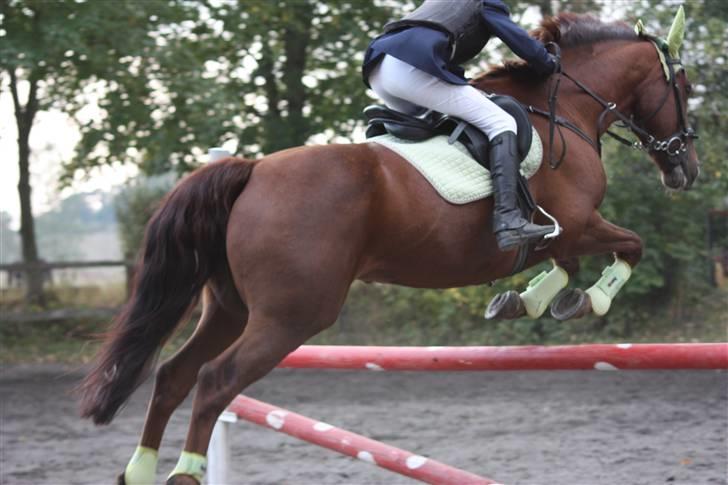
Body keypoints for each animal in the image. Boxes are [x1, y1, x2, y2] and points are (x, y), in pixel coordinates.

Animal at [77, 13, 696, 482]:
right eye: (685, 89)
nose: (685, 169)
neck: (563, 109)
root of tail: (251, 171)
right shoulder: (577, 223)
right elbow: (631, 246)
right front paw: (588, 299)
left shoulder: (560, 233)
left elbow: (561, 265)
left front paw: (532, 300)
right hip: (291, 316)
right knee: (213, 382)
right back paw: (184, 472)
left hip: (230, 309)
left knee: (173, 376)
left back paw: (139, 470)